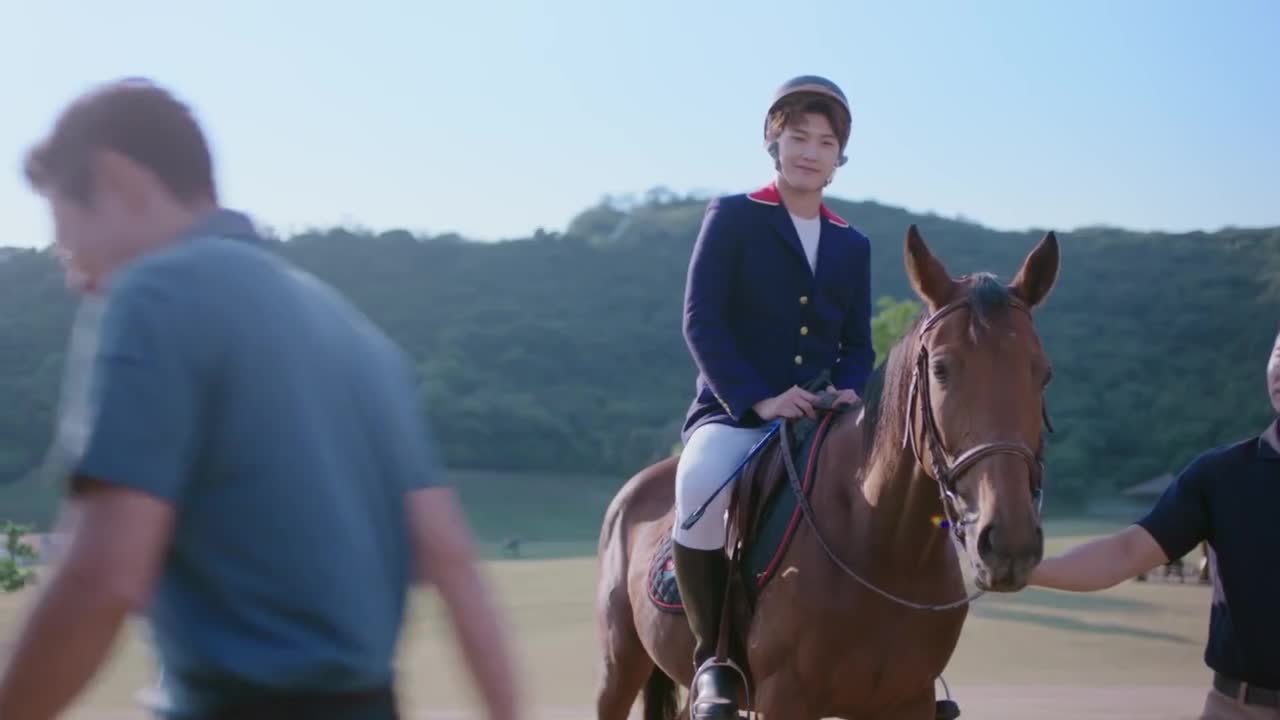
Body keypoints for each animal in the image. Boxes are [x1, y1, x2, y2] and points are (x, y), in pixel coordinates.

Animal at [595, 224, 1060, 720]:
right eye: (940, 369)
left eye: (1043, 373)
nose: (1010, 543)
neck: (885, 547)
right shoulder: (784, 698)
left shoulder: (908, 700)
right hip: (618, 666)